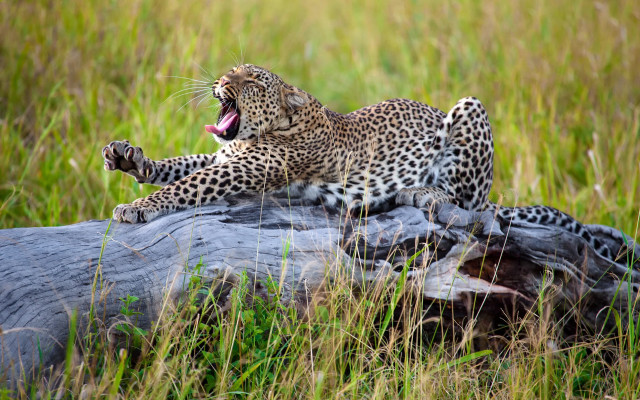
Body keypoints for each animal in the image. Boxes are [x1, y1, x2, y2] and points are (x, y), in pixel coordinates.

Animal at [102, 64, 615, 261]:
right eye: (233, 71)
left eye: (251, 81)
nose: (221, 81)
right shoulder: (225, 155)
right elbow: (180, 164)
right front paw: (131, 159)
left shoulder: (241, 168)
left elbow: (187, 185)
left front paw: (136, 208)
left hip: (470, 111)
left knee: (468, 201)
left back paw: (420, 191)